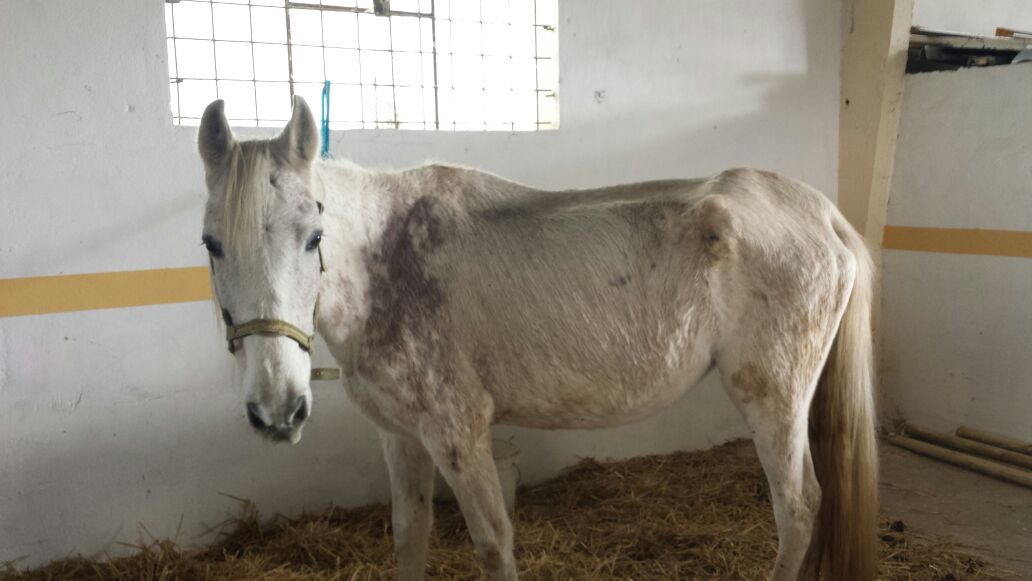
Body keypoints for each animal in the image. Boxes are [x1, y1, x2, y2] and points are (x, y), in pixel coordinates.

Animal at [196, 96, 878, 581]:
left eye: (314, 237)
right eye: (211, 244)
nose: (278, 410)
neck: (387, 265)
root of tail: (821, 213)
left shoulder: (458, 435)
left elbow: (493, 544)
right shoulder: (401, 438)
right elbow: (408, 538)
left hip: (774, 400)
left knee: (797, 509)